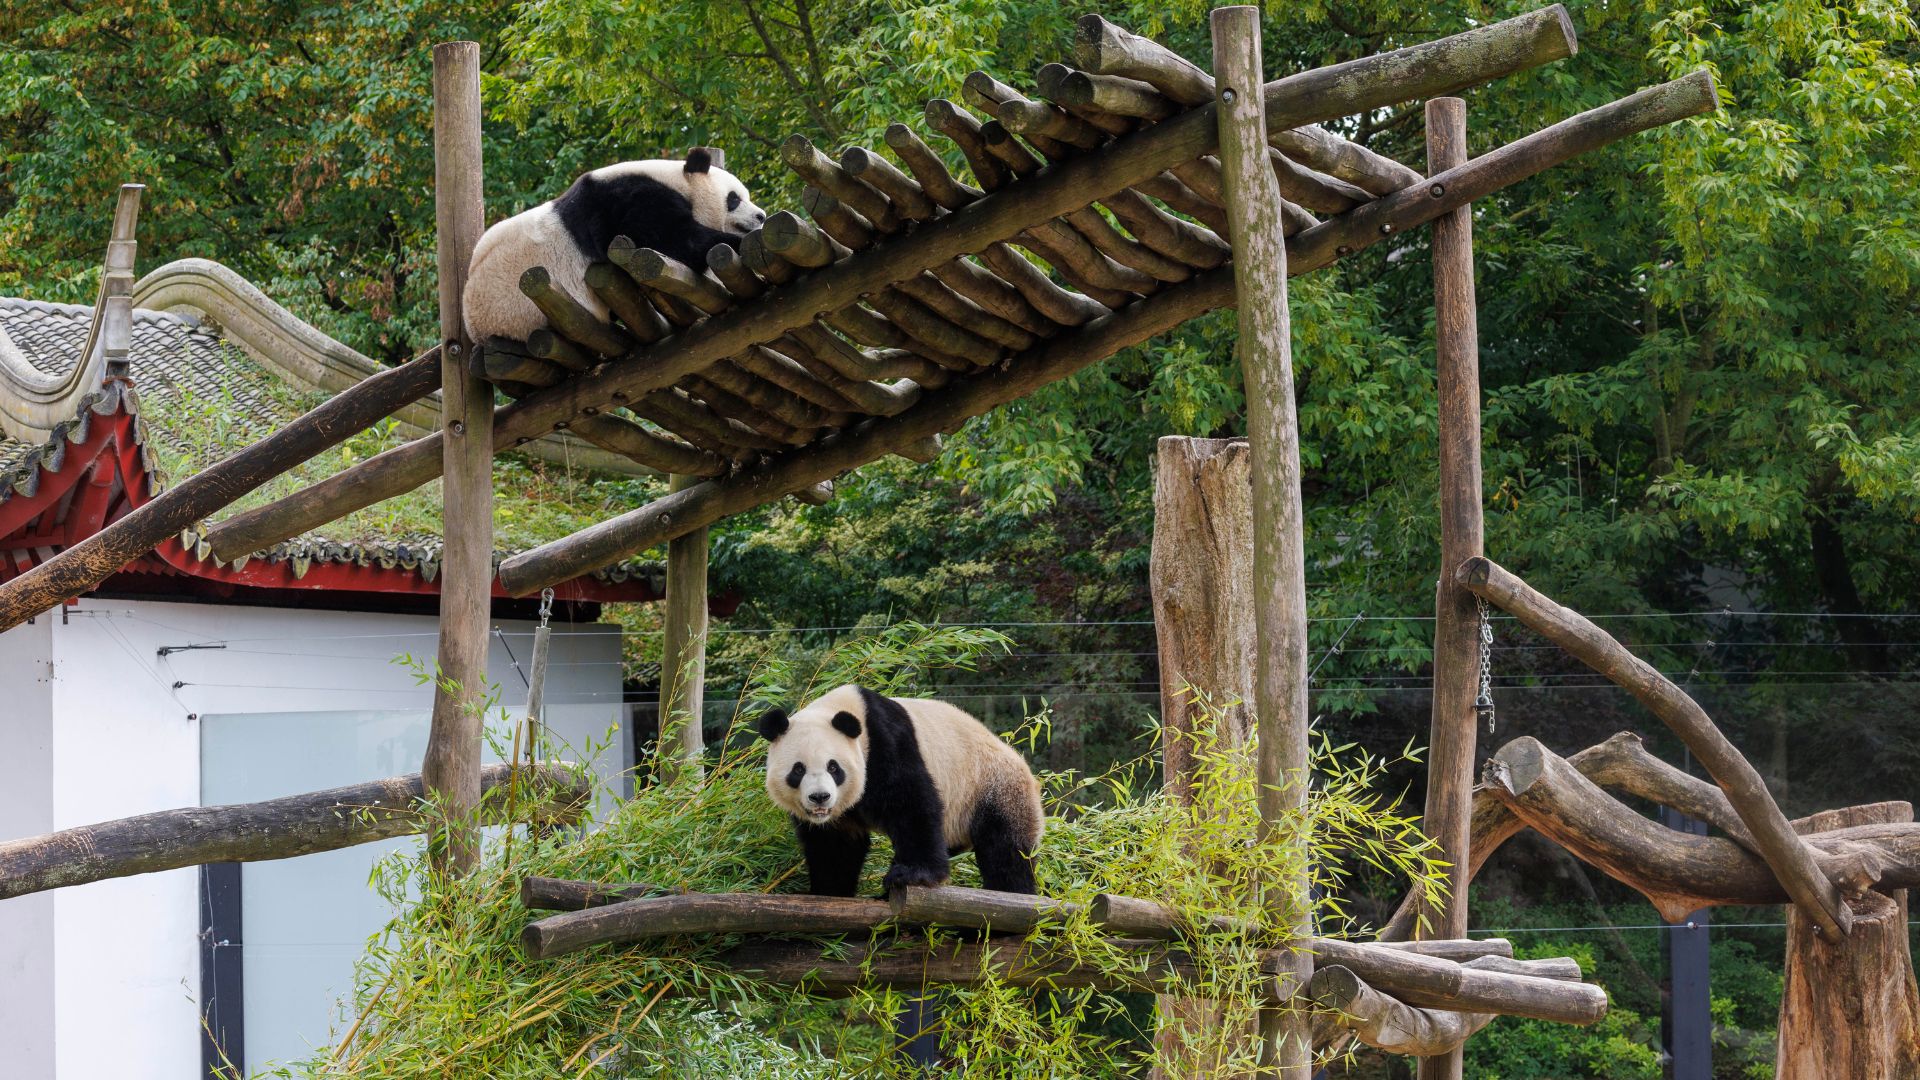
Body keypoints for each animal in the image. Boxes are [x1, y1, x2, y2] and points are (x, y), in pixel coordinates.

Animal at [462, 147, 764, 340]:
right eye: (734, 198)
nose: (761, 216)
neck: (676, 181)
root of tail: (475, 331)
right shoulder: (627, 202)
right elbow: (675, 242)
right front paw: (739, 240)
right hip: (521, 311)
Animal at [752, 680, 1052, 891]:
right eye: (798, 770)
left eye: (833, 767)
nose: (820, 797)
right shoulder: (836, 819)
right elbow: (835, 847)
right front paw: (829, 890)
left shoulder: (885, 741)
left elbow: (910, 804)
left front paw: (912, 875)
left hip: (995, 787)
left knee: (1006, 852)